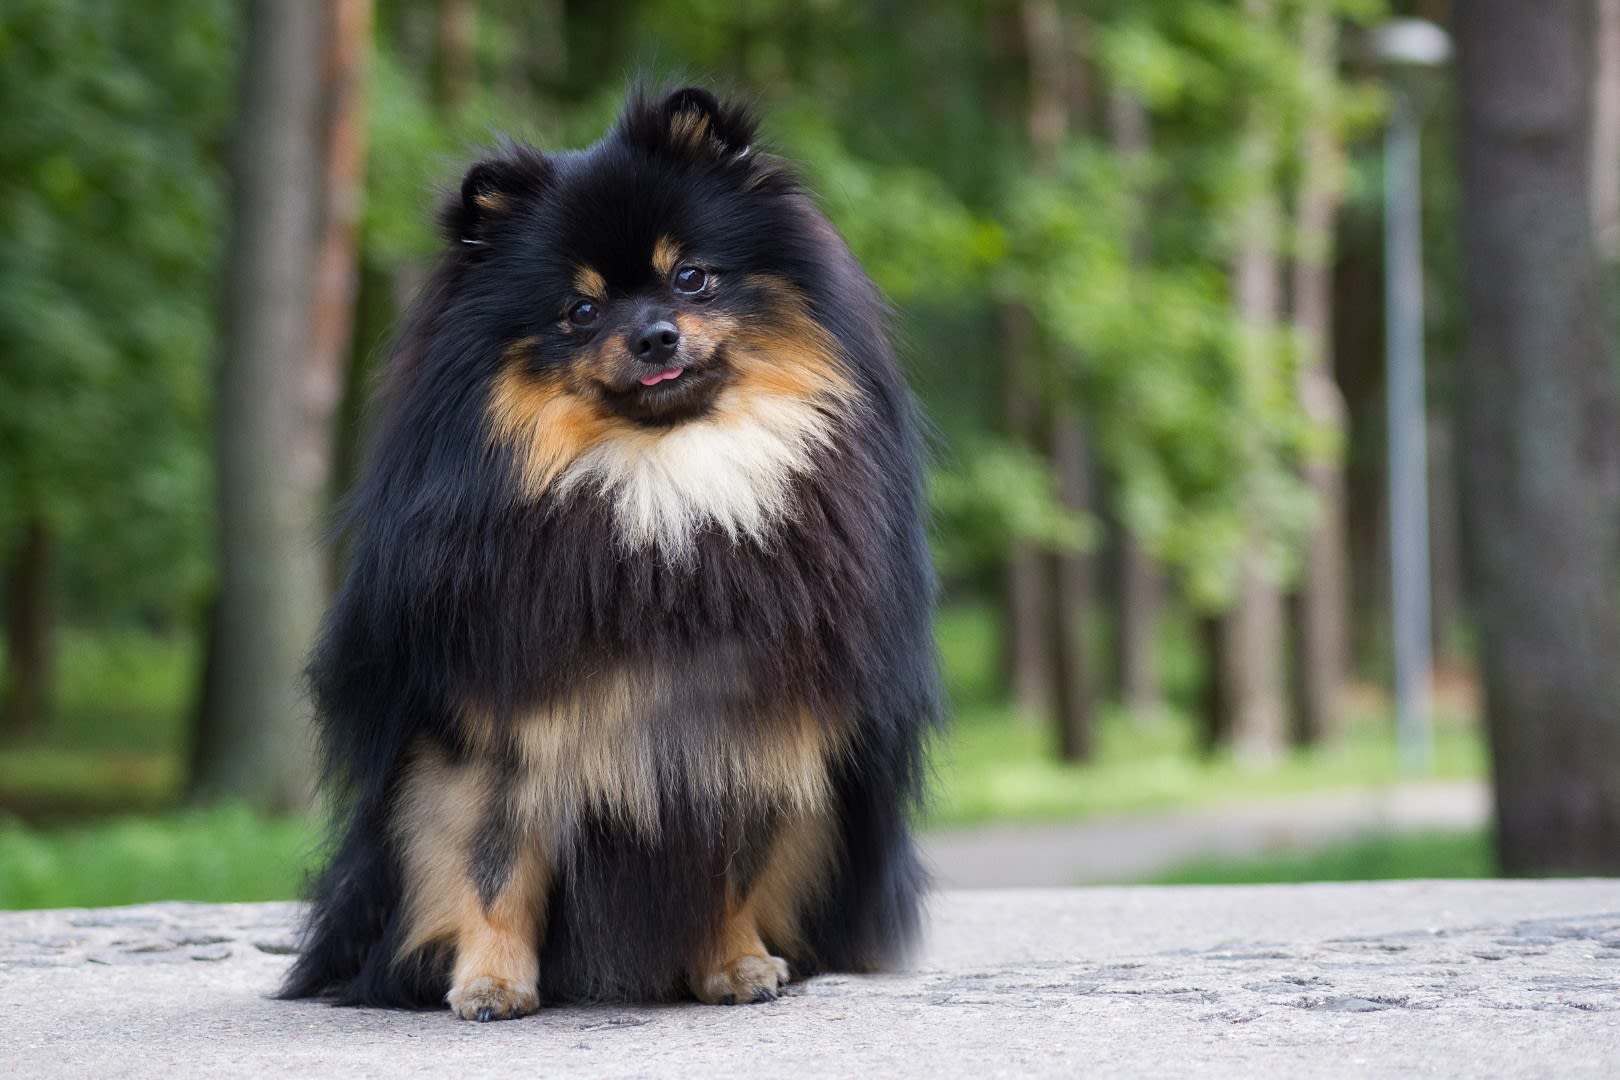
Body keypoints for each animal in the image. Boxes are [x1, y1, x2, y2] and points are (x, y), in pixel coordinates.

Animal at [278, 86, 939, 1023]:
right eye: (582, 310)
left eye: (691, 275)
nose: (654, 335)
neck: (661, 484)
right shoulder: (492, 736)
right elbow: (492, 868)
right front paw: (491, 983)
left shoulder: (746, 729)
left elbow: (733, 871)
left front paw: (736, 966)